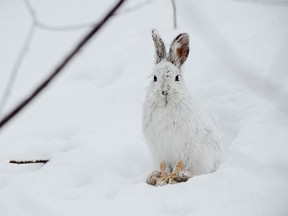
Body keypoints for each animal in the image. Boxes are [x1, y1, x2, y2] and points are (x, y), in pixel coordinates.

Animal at [143, 30, 224, 186]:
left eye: (177, 78)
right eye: (155, 78)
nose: (165, 92)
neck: (166, 107)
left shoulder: (184, 146)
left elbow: (179, 164)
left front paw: (171, 177)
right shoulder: (161, 150)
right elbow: (163, 166)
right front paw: (163, 178)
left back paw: (182, 176)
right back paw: (153, 176)